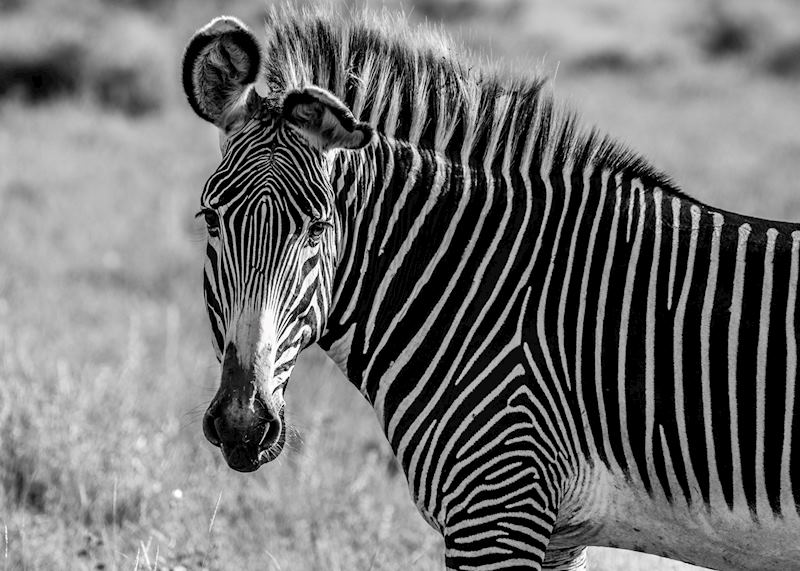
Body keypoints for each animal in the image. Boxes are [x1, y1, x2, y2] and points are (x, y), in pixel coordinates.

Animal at [181, 8, 800, 570]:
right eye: (211, 220)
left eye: (318, 228)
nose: (242, 426)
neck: (482, 291)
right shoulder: (555, 534)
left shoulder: (498, 508)